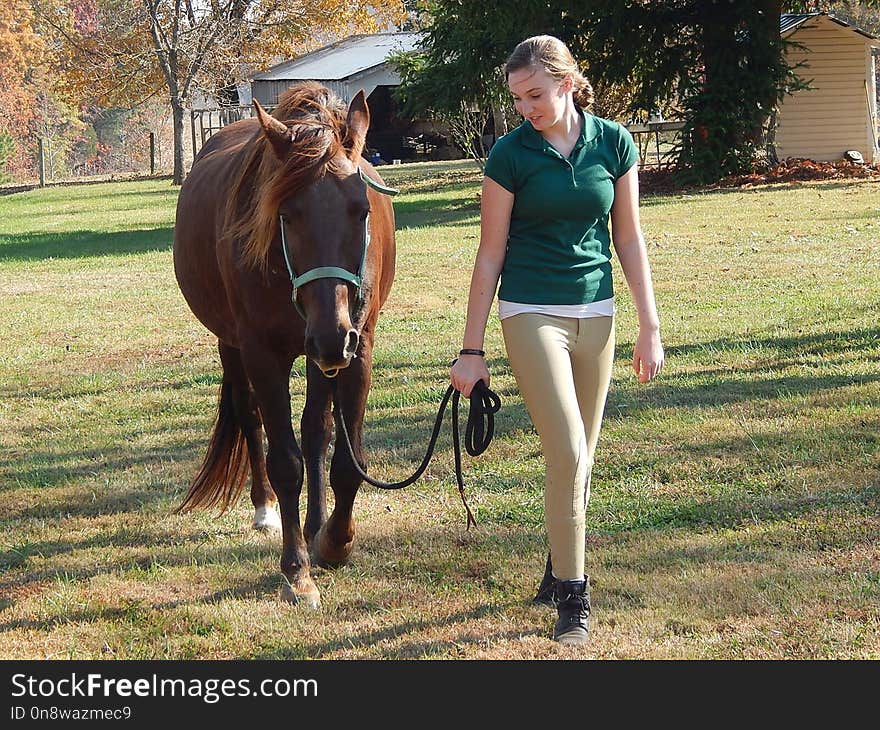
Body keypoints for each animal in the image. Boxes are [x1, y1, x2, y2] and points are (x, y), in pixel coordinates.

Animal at [172, 82, 396, 604]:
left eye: (361, 211)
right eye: (287, 214)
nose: (333, 334)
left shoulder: (357, 348)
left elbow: (344, 458)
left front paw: (334, 541)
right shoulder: (262, 353)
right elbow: (285, 462)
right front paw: (298, 572)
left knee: (316, 429)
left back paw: (315, 526)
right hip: (236, 347)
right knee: (250, 417)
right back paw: (266, 510)